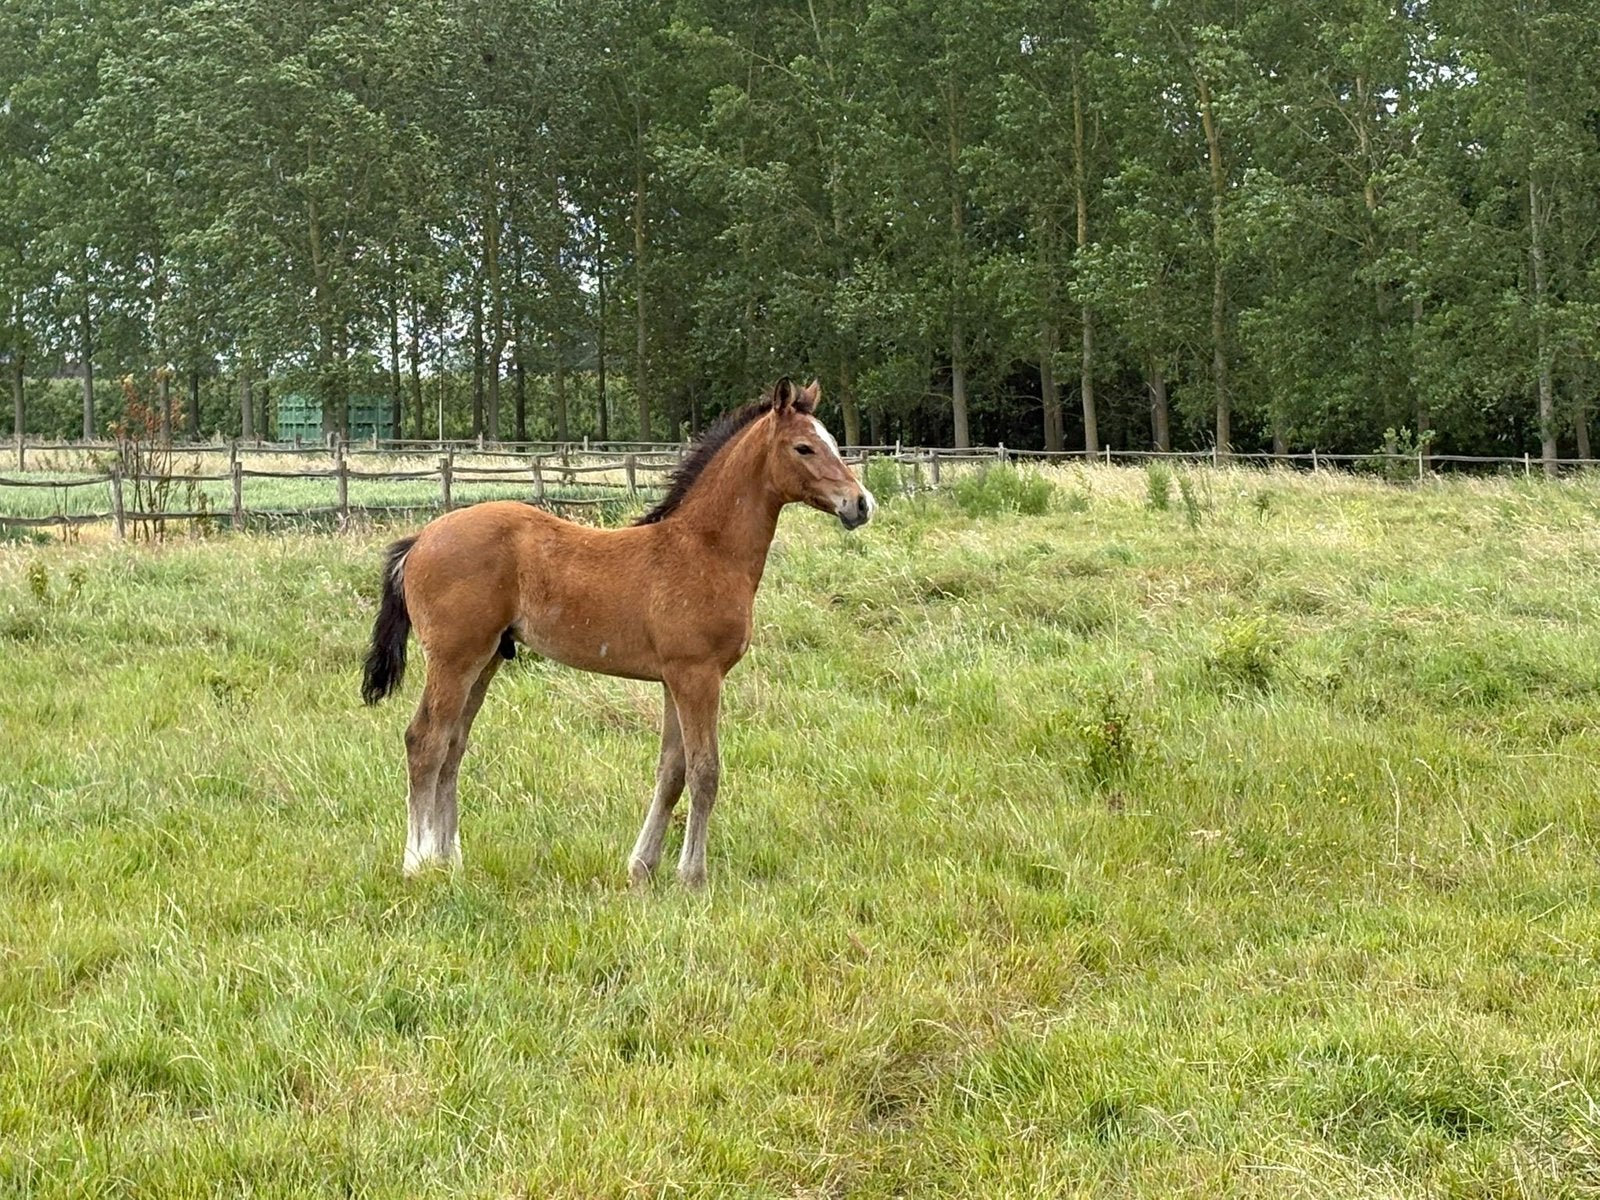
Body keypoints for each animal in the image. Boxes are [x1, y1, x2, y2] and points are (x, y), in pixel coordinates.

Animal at [360, 378, 875, 887]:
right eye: (804, 447)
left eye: (833, 442)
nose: (861, 504)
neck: (705, 550)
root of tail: (420, 540)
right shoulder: (698, 676)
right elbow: (705, 771)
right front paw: (692, 877)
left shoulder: (674, 680)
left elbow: (672, 771)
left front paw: (643, 868)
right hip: (454, 658)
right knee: (425, 741)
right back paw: (417, 863)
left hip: (484, 661)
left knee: (453, 745)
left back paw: (450, 860)